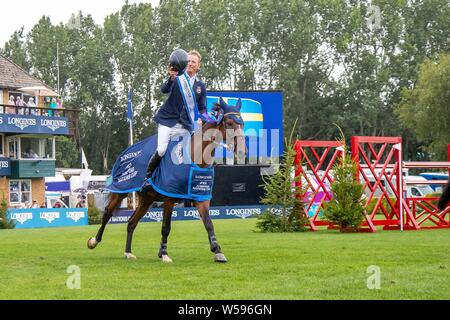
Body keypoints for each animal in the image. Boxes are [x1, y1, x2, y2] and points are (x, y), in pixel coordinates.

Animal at [87, 99, 246, 262]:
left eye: (243, 123)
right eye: (230, 122)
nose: (242, 151)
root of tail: (124, 153)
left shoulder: (201, 197)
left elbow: (209, 223)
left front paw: (217, 251)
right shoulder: (169, 198)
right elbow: (166, 227)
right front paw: (164, 253)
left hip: (146, 199)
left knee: (131, 222)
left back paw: (128, 252)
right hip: (121, 191)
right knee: (107, 213)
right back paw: (94, 241)